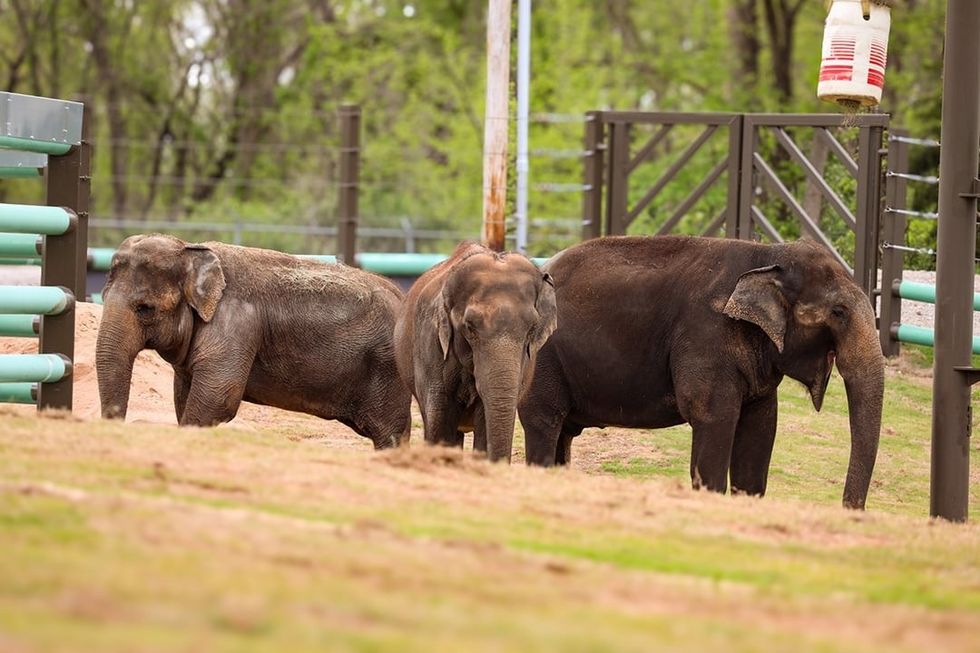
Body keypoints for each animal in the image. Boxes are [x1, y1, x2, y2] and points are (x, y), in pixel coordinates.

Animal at [96, 234, 412, 448]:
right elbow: (184, 396)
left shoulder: (236, 323)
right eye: (102, 296)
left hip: (388, 371)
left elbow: (218, 397)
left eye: (145, 308)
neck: (190, 249)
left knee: (390, 434)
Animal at [518, 235, 884, 509]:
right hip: (542, 361)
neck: (768, 254)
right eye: (838, 312)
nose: (850, 509)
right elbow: (713, 418)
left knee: (563, 433)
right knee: (544, 424)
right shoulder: (707, 336)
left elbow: (761, 427)